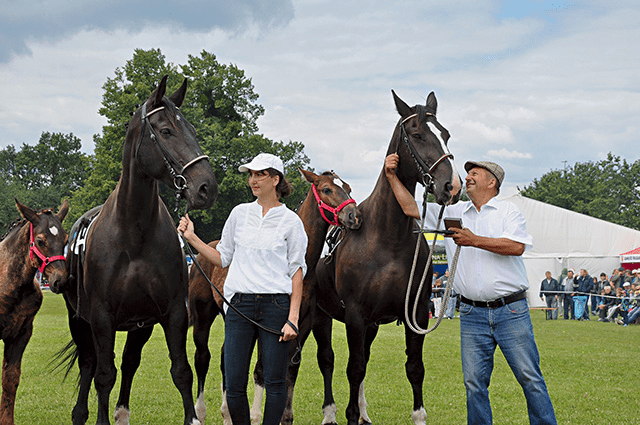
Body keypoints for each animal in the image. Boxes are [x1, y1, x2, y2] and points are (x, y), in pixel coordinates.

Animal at [60, 76, 220, 424]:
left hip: (139, 325)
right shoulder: (101, 317)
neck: (134, 235)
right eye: (166, 130)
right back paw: (80, 413)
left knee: (130, 361)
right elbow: (103, 375)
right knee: (90, 364)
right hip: (79, 320)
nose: (207, 188)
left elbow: (182, 372)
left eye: (193, 130)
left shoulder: (172, 312)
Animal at [312, 90, 458, 424]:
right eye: (417, 135)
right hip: (318, 316)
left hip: (372, 325)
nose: (451, 185)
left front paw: (417, 415)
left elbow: (414, 369)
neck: (387, 238)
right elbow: (353, 369)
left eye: (445, 134)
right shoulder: (354, 315)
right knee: (326, 360)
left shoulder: (416, 312)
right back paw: (330, 413)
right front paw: (350, 414)